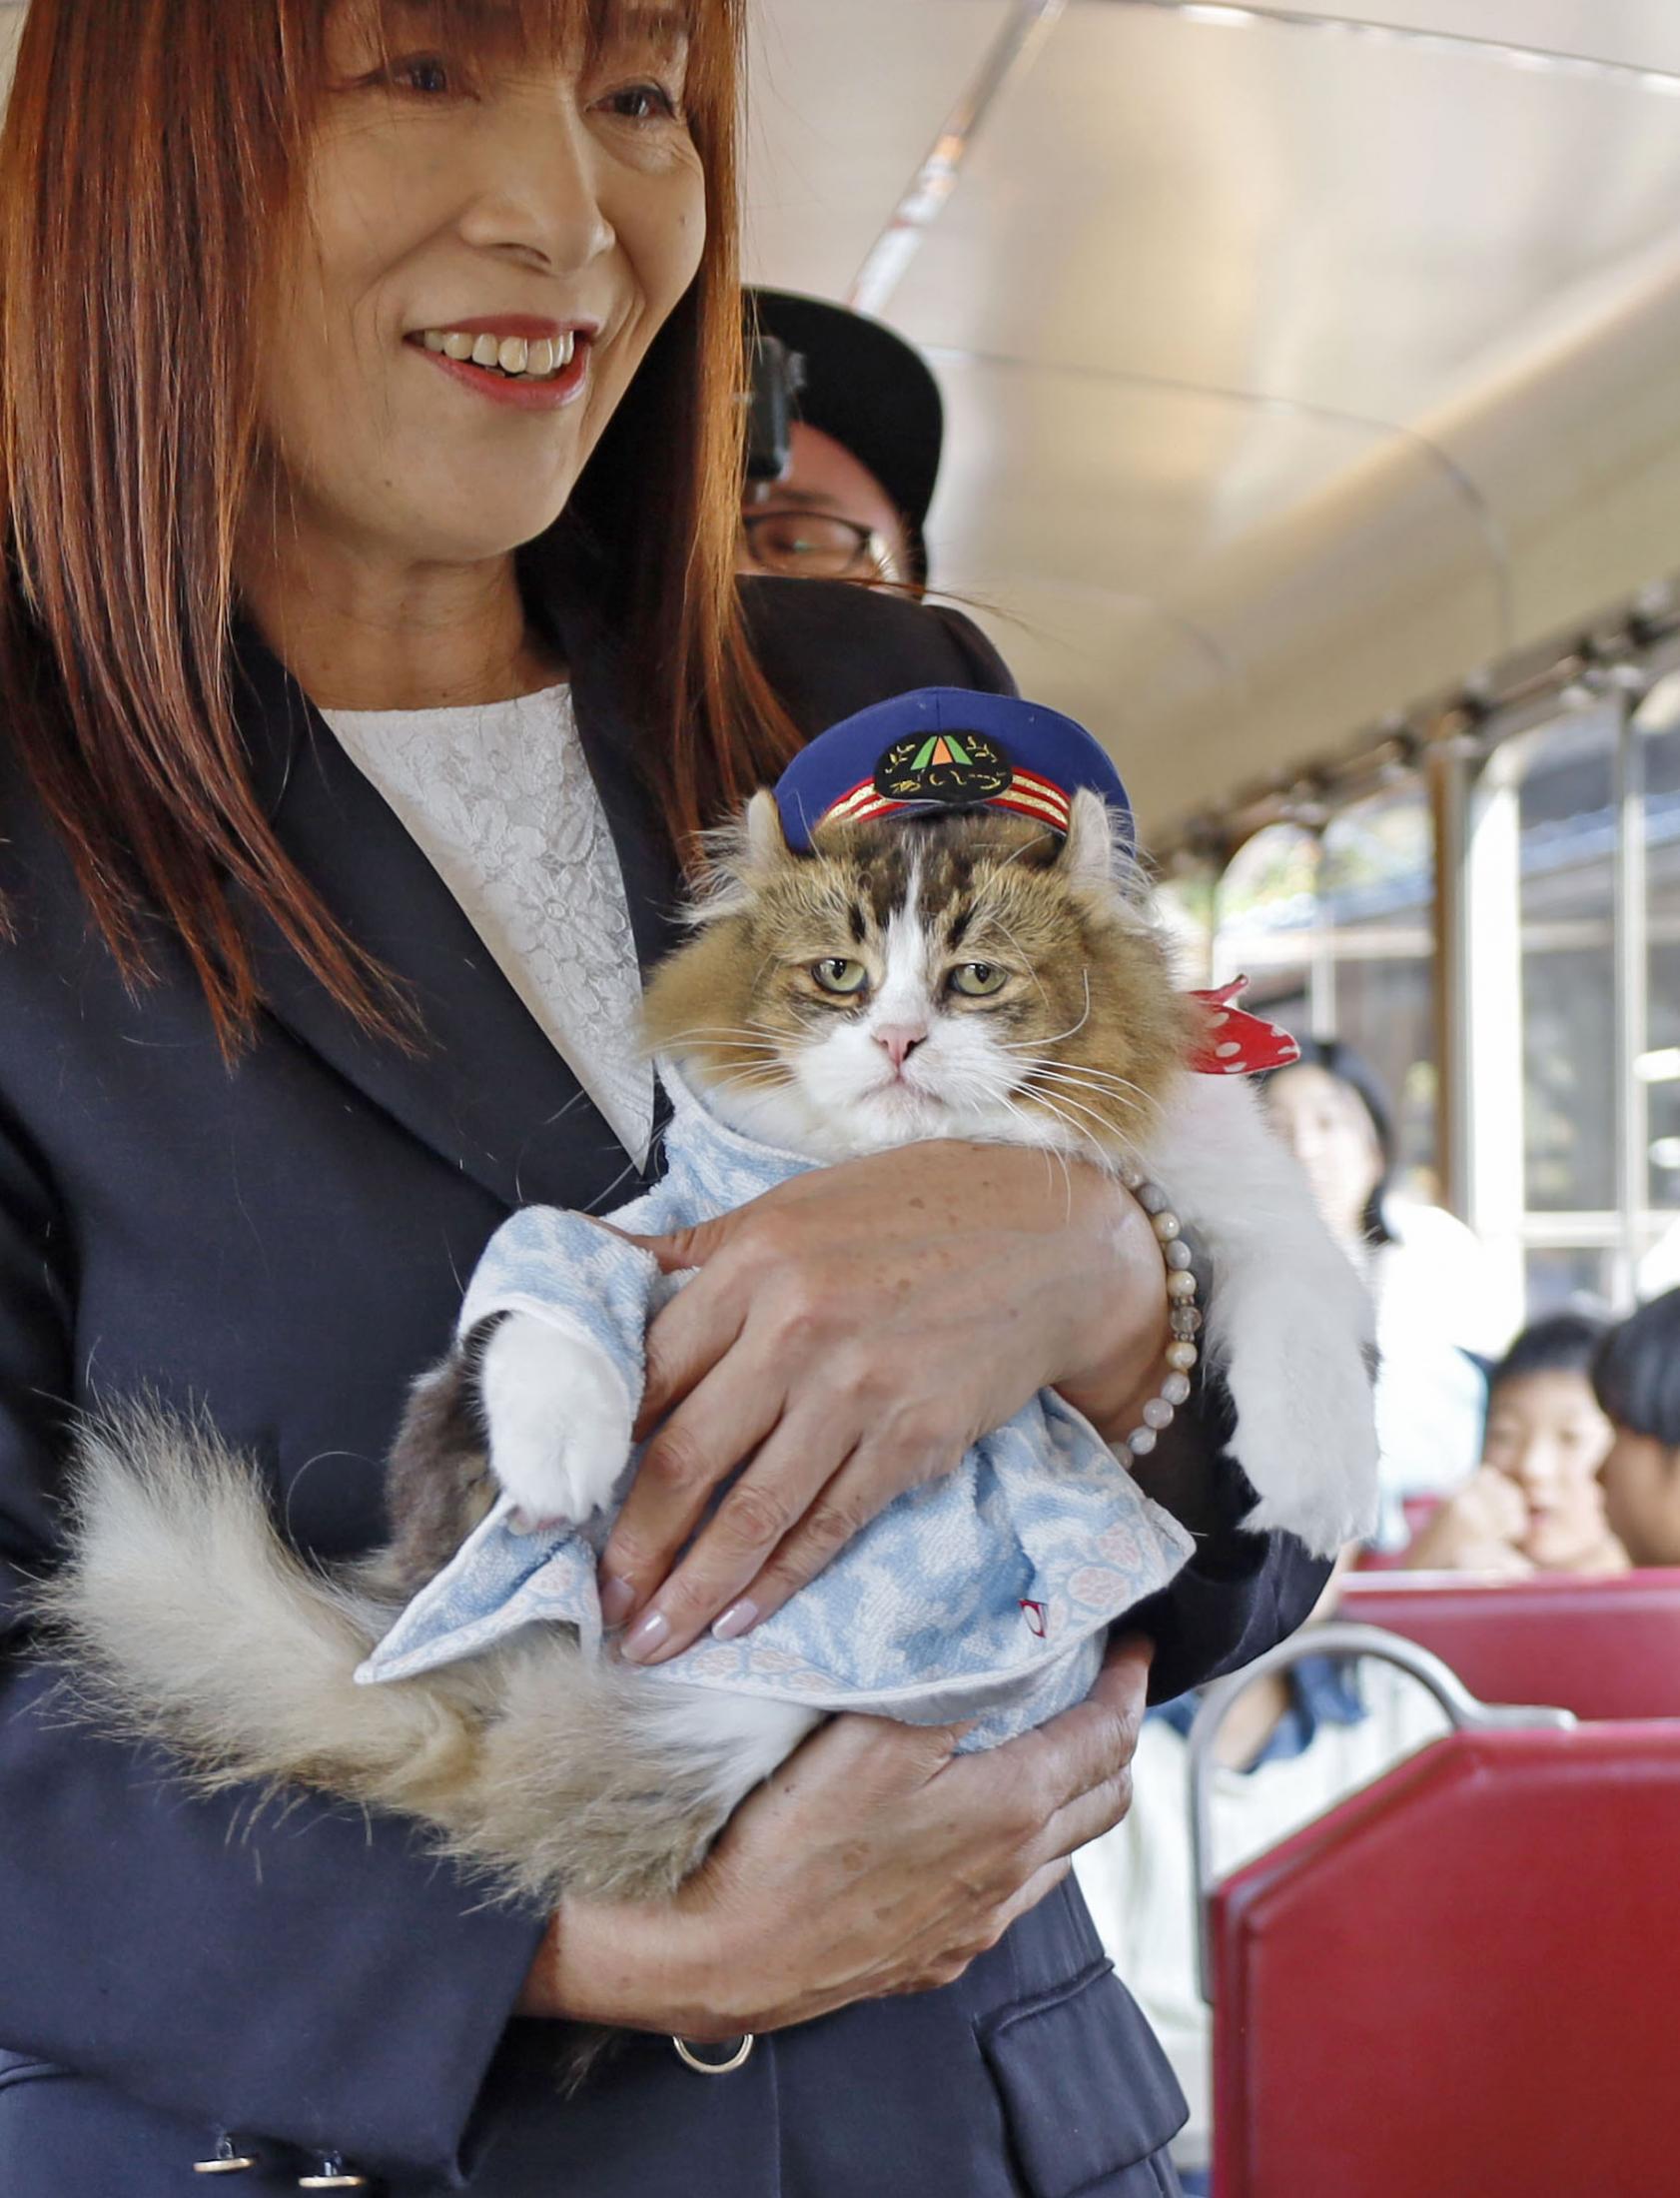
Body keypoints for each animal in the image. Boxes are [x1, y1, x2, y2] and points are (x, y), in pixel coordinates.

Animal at [42, 786, 1378, 1907]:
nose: (897, 1041)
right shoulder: (648, 1243)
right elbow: (545, 1299)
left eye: (974, 977)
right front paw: (556, 1461)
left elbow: (1305, 1314)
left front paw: (1316, 1491)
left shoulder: (1244, 1201)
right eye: (838, 974)